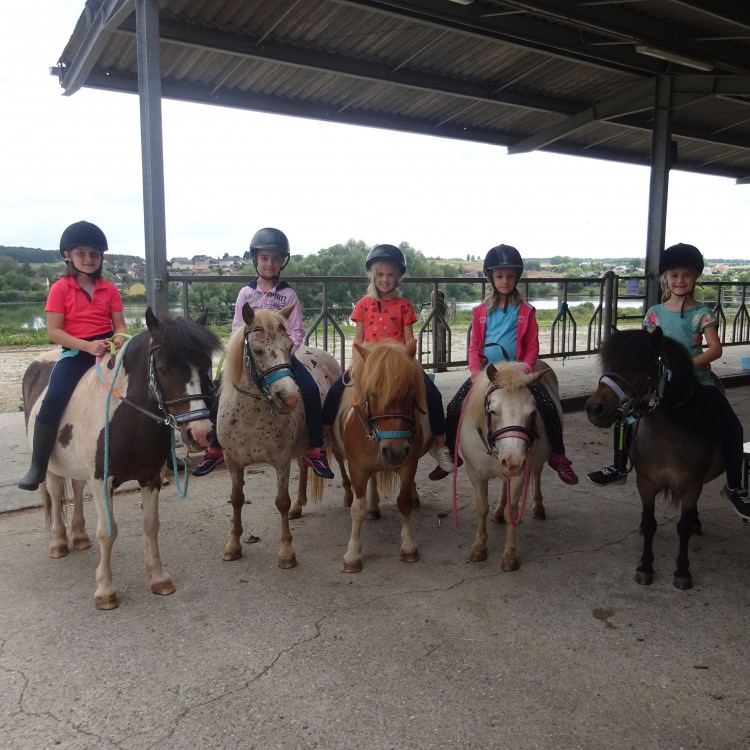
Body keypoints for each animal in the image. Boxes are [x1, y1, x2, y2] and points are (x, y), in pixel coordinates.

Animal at [22, 312, 223, 612]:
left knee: (77, 490)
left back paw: (79, 536)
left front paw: (159, 578)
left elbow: (151, 525)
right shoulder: (102, 481)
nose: (200, 433)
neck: (128, 418)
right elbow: (108, 532)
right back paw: (58, 542)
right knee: (56, 494)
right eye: (162, 368)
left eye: (206, 366)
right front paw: (105, 591)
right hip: (51, 466)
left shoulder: (150, 478)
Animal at [216, 304, 342, 568]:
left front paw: (286, 553)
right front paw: (233, 546)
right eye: (257, 350)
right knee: (304, 465)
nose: (290, 397)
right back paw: (299, 505)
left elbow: (281, 502)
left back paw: (349, 496)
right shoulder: (233, 461)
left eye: (288, 347)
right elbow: (236, 499)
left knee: (341, 461)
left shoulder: (281, 461)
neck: (250, 415)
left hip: (331, 436)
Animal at [334, 340, 432, 576]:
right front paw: (352, 555)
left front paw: (408, 547)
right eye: (372, 394)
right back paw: (373, 508)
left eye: (410, 393)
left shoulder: (409, 464)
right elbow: (357, 510)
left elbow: (404, 503)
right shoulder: (357, 468)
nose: (394, 450)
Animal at [458, 362, 560, 572]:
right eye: (493, 411)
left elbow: (511, 512)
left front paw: (510, 556)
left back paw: (538, 507)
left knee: (537, 473)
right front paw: (479, 548)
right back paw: (498, 512)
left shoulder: (520, 473)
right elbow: (481, 508)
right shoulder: (475, 473)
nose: (513, 462)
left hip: (534, 462)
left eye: (532, 413)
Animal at [588, 328, 724, 592]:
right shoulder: (647, 482)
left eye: (640, 366)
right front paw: (645, 568)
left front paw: (682, 572)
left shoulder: (691, 485)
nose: (594, 409)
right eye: (609, 363)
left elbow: (683, 527)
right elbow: (651, 524)